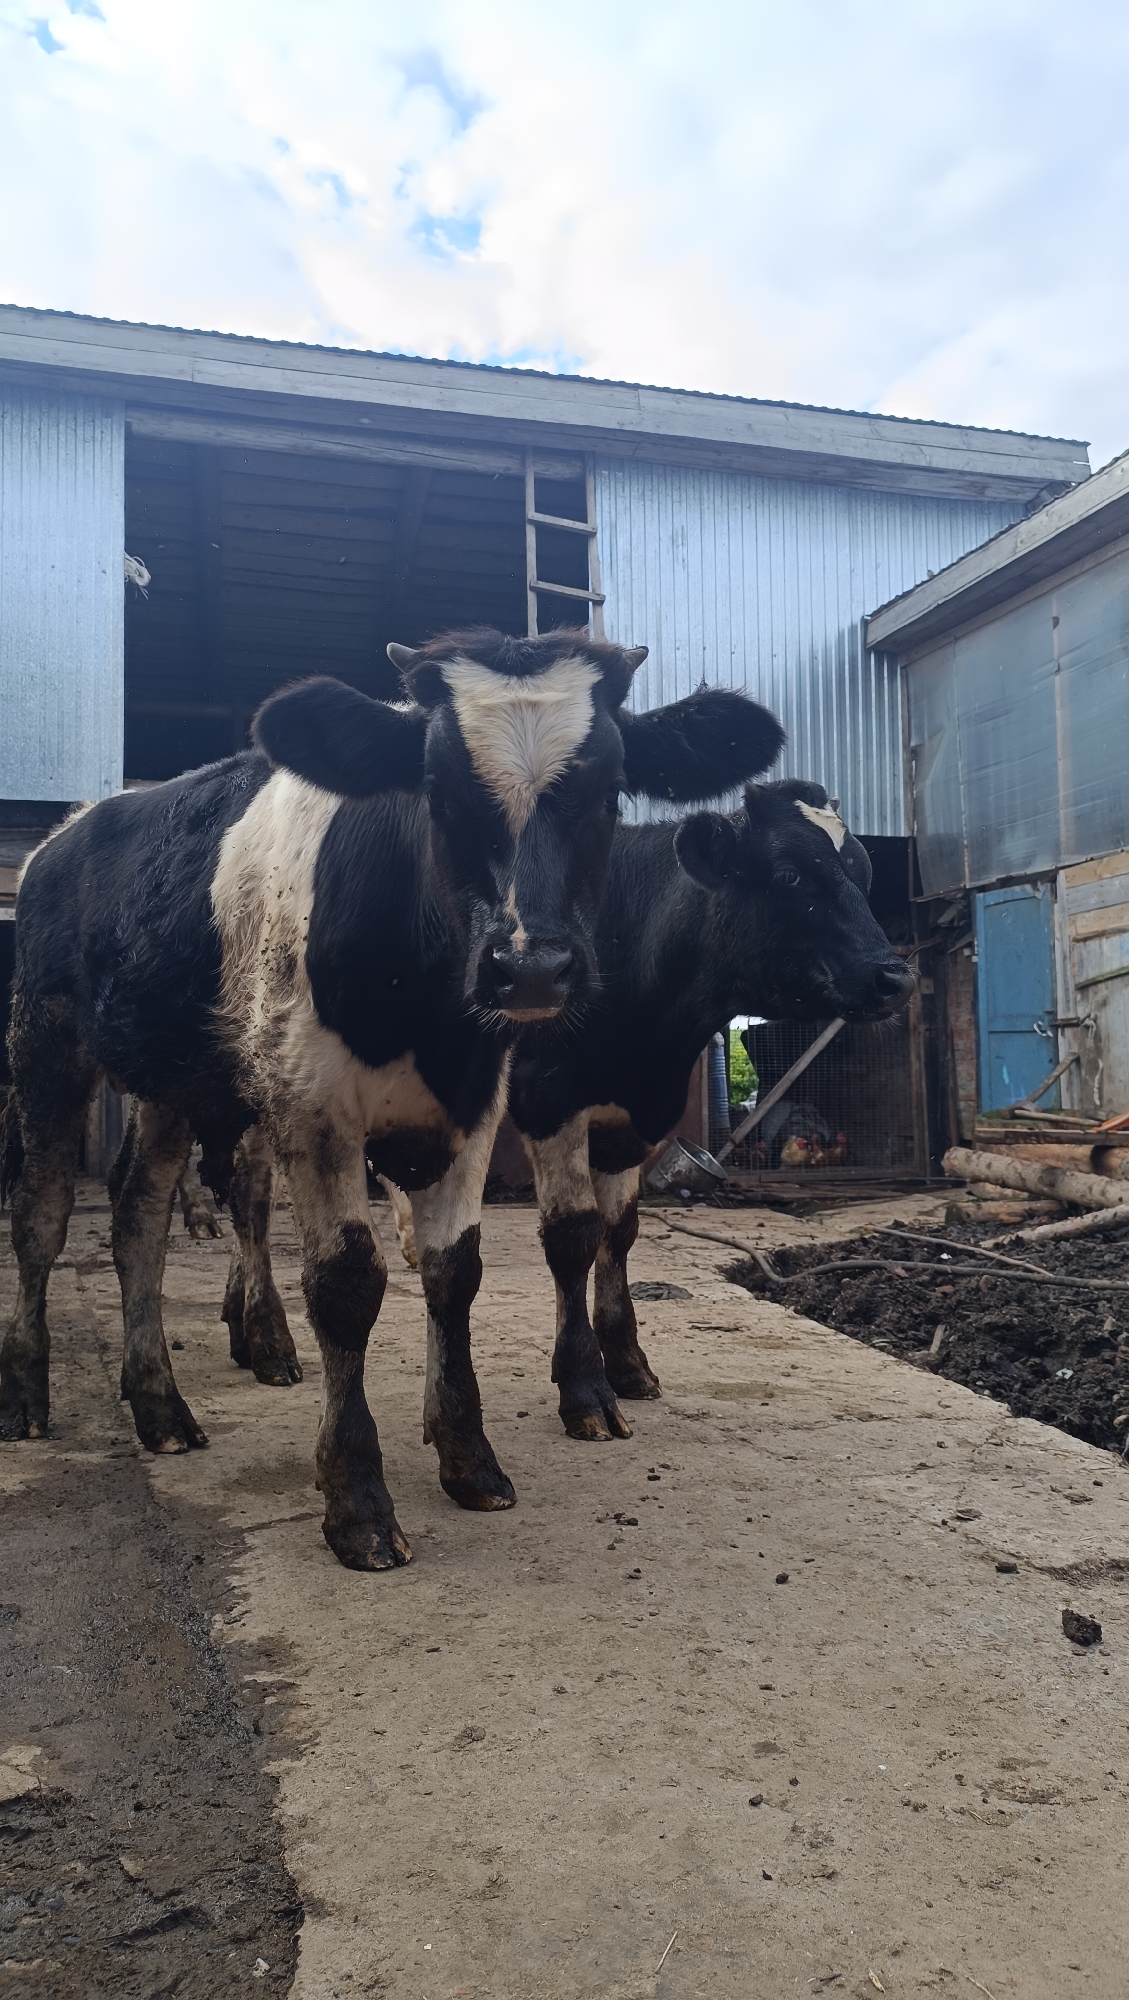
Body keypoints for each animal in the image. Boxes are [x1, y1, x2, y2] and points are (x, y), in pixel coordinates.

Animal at [0, 628, 784, 1571]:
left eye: (608, 792)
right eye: (436, 791)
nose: (529, 968)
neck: (427, 1011)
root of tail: (72, 826)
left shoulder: (478, 1104)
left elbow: (453, 1271)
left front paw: (467, 1455)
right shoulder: (312, 1106)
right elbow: (345, 1284)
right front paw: (358, 1501)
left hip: (169, 1079)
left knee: (137, 1215)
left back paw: (158, 1403)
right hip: (45, 1038)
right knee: (41, 1212)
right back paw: (26, 1391)